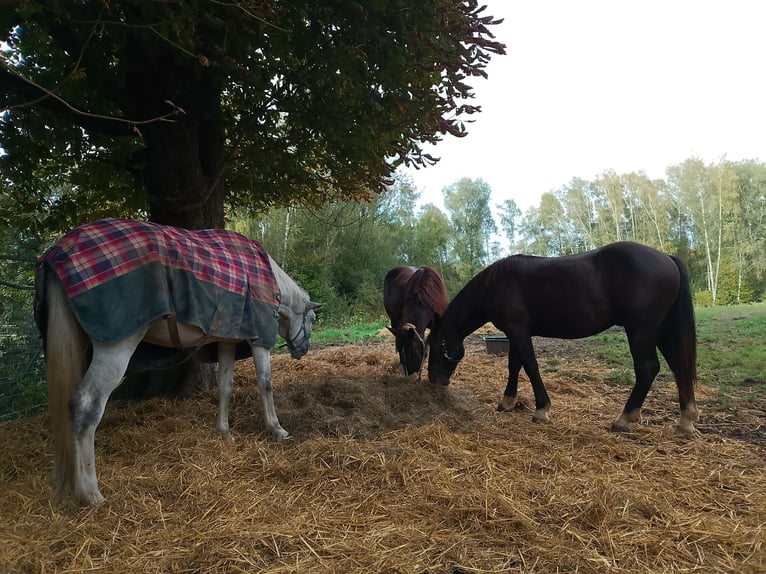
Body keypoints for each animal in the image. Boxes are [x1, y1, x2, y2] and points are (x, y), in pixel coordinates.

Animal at [426, 243, 704, 436]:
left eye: (434, 345)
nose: (434, 380)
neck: (494, 284)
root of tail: (667, 258)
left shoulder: (518, 331)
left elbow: (530, 366)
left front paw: (541, 409)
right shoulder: (515, 333)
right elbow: (514, 366)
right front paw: (507, 402)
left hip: (641, 331)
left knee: (648, 369)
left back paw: (624, 419)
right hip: (661, 330)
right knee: (679, 367)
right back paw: (685, 421)